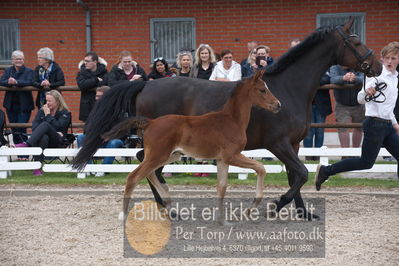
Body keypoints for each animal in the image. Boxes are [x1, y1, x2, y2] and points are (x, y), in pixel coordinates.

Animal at [103, 69, 282, 223]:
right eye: (262, 90)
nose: (278, 104)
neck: (231, 120)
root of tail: (150, 122)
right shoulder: (232, 156)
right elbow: (261, 168)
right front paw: (250, 209)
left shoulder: (222, 160)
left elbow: (222, 187)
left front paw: (221, 220)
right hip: (158, 155)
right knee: (134, 176)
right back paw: (124, 215)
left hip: (170, 155)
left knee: (149, 173)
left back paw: (168, 200)